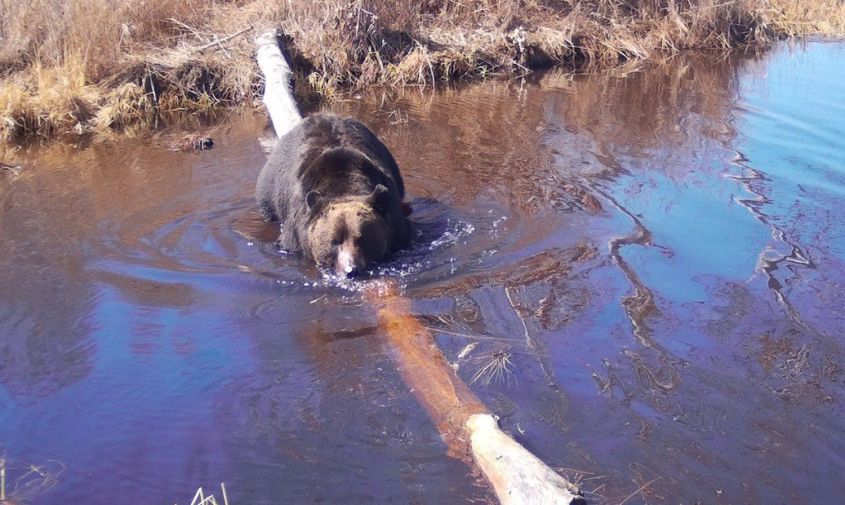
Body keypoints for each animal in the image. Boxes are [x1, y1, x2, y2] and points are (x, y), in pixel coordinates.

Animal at [256, 112, 410, 278]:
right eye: (335, 241)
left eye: (362, 238)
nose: (351, 270)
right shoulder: (296, 232)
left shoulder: (396, 225)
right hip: (269, 190)